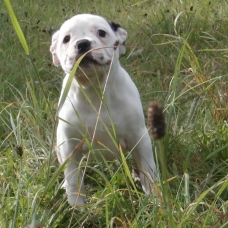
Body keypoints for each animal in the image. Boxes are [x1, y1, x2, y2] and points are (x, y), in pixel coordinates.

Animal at [50, 14, 157, 207]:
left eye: (101, 32)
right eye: (66, 39)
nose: (82, 43)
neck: (95, 91)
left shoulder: (139, 138)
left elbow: (148, 170)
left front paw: (155, 199)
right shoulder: (69, 147)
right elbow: (73, 180)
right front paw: (77, 207)